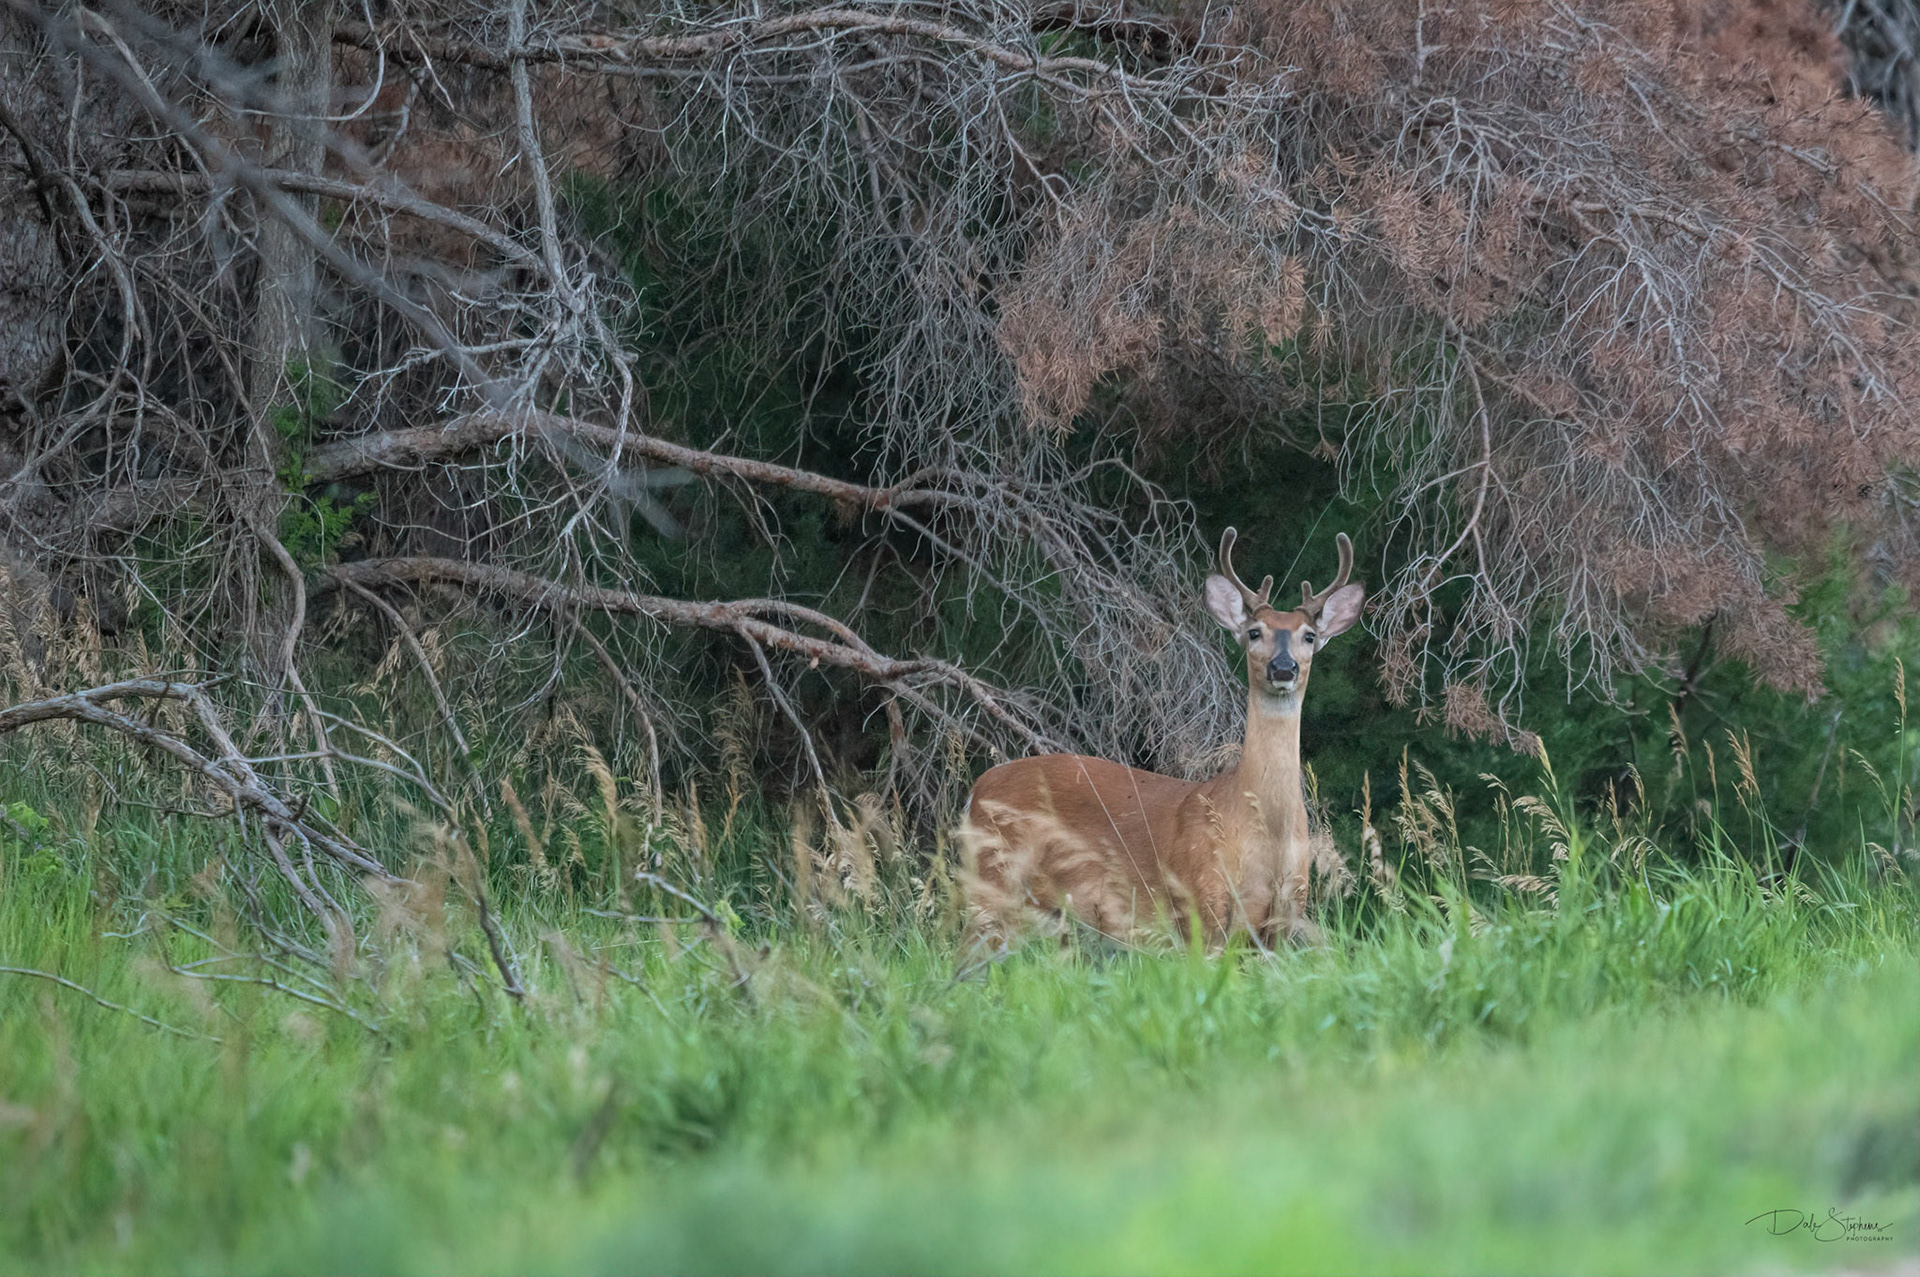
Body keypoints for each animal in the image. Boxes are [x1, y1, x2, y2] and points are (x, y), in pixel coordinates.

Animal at [963, 528, 1365, 949]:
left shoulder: (1286, 915)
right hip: (991, 884)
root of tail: (976, 789)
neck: (1264, 834)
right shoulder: (1199, 900)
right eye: (1255, 633)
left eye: (1310, 636)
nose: (1283, 667)